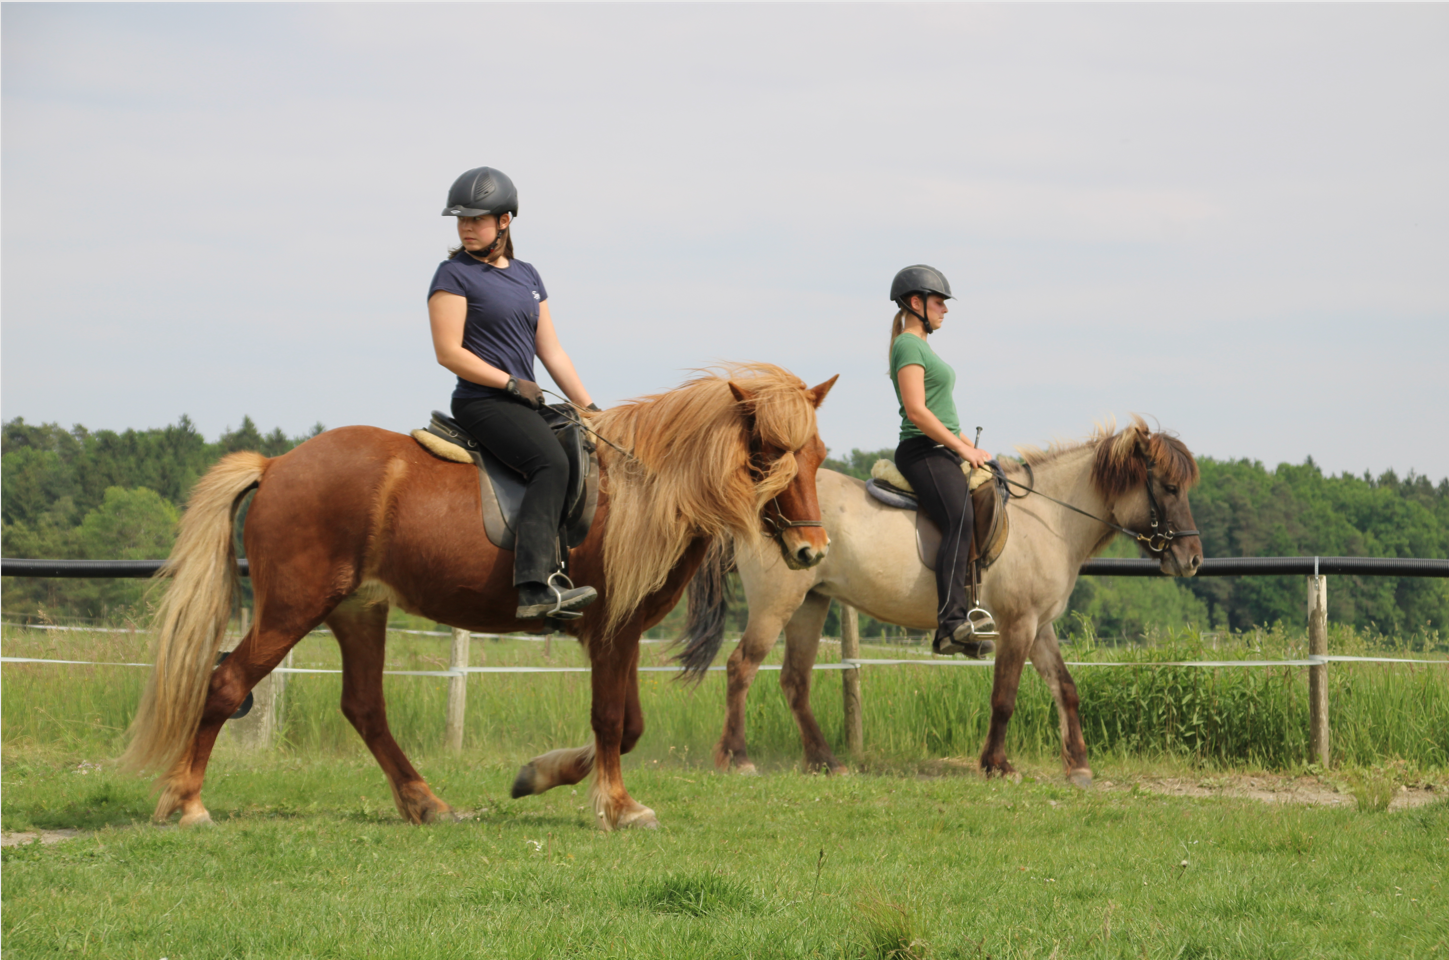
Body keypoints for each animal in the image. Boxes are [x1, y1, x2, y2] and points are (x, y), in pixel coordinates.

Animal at [122, 363, 838, 831]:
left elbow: (629, 727)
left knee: (364, 708)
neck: (648, 486)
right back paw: (187, 802)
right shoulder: (610, 628)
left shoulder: (624, 632)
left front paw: (539, 775)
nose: (813, 552)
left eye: (818, 452)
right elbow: (612, 722)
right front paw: (618, 806)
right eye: (767, 456)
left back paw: (426, 804)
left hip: (358, 609)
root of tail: (276, 466)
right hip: (293, 607)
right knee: (226, 683)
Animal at [680, 416, 1203, 786]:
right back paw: (739, 758)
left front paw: (1078, 766)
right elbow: (1004, 697)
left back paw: (825, 761)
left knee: (794, 681)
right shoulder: (1017, 624)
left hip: (810, 603)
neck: (1049, 517)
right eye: (1170, 487)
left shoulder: (1040, 626)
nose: (1193, 559)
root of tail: (761, 503)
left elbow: (1065, 688)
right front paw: (997, 765)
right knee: (742, 667)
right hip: (776, 603)